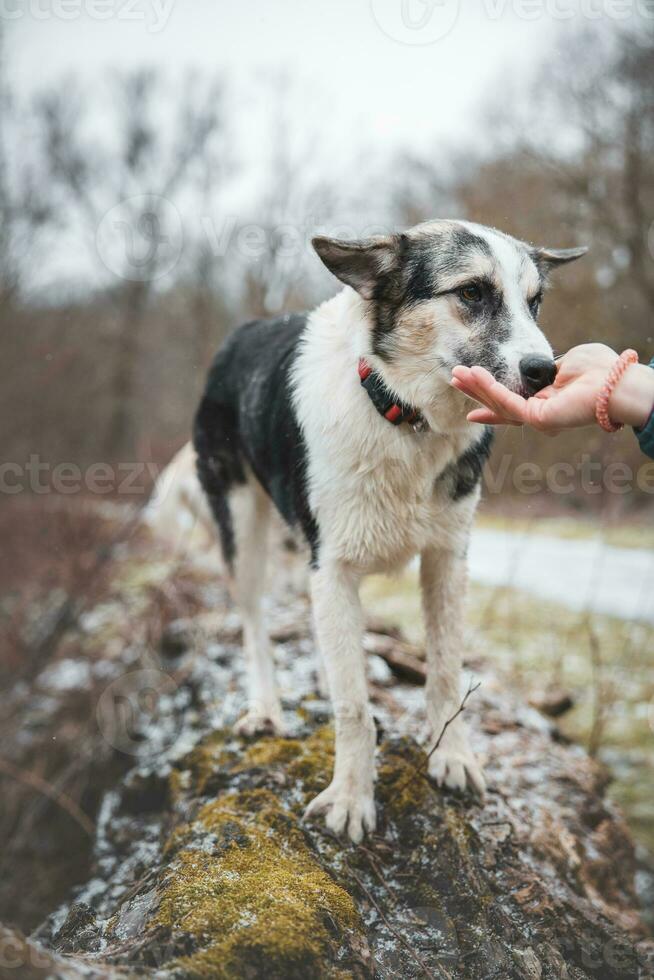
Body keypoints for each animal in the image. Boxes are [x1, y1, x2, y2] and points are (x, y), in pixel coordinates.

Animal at [192, 220, 588, 844]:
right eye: (472, 292)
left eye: (535, 302)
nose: (544, 371)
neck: (405, 417)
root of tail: (241, 333)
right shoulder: (331, 570)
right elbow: (353, 707)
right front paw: (351, 799)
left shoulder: (447, 558)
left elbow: (445, 672)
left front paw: (452, 757)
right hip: (241, 529)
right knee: (254, 625)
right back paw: (266, 708)